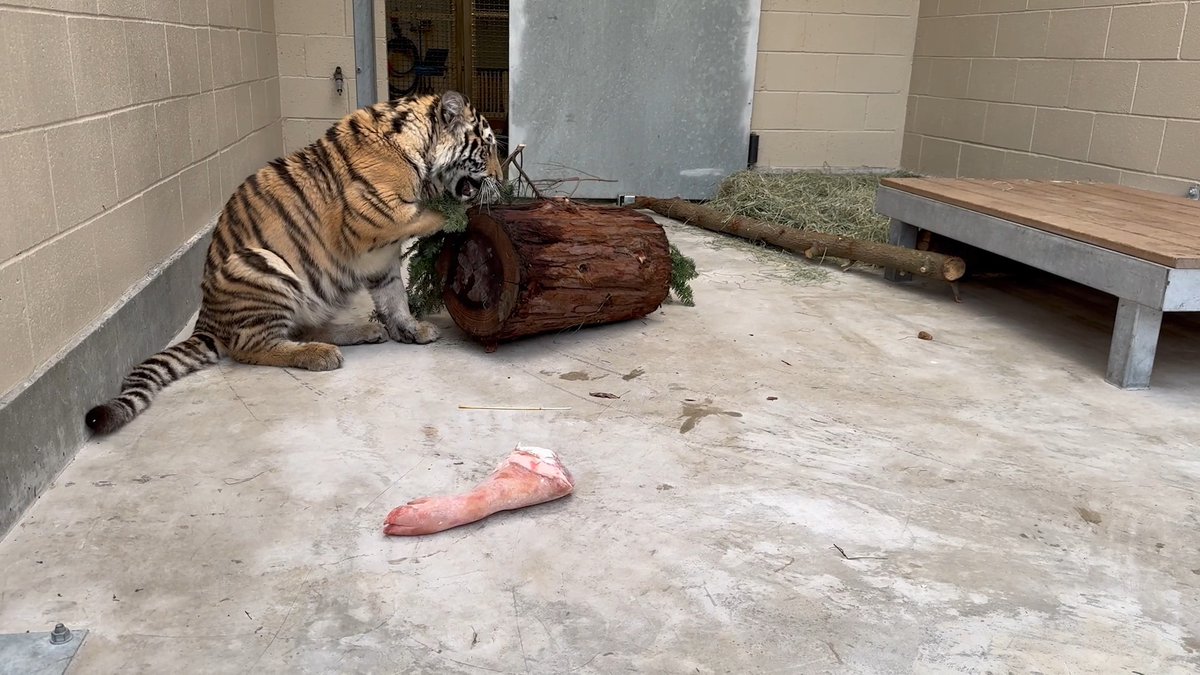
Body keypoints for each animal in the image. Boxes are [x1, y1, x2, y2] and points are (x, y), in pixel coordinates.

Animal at [85, 90, 503, 435]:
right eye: (488, 148)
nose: (501, 179)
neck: (418, 144)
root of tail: (208, 319)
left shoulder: (378, 257)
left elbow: (393, 298)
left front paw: (410, 329)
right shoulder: (374, 218)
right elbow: (430, 214)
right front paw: (461, 212)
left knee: (303, 327)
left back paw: (360, 332)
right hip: (261, 264)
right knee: (252, 347)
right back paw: (319, 355)